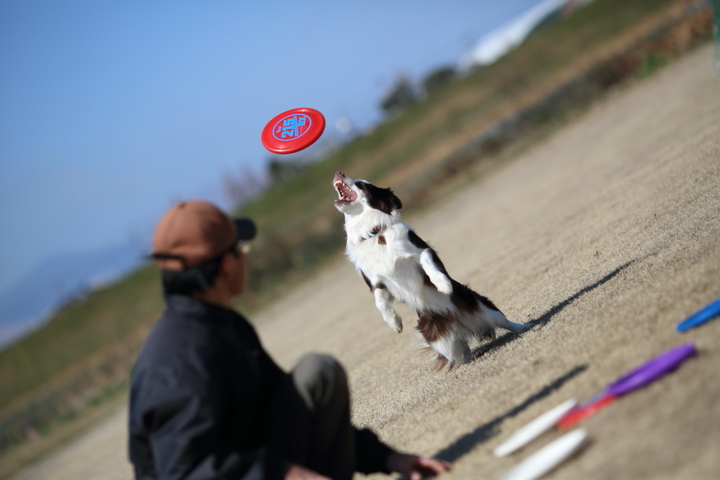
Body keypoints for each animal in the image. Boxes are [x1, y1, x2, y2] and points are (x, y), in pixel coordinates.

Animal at [334, 172, 532, 368]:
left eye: (361, 184)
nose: (339, 173)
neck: (374, 233)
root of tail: (459, 322)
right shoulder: (378, 283)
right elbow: (380, 302)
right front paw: (394, 322)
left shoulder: (420, 252)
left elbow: (428, 262)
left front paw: (443, 284)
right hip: (442, 340)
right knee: (461, 350)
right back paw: (465, 363)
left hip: (481, 306)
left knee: (502, 321)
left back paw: (524, 327)